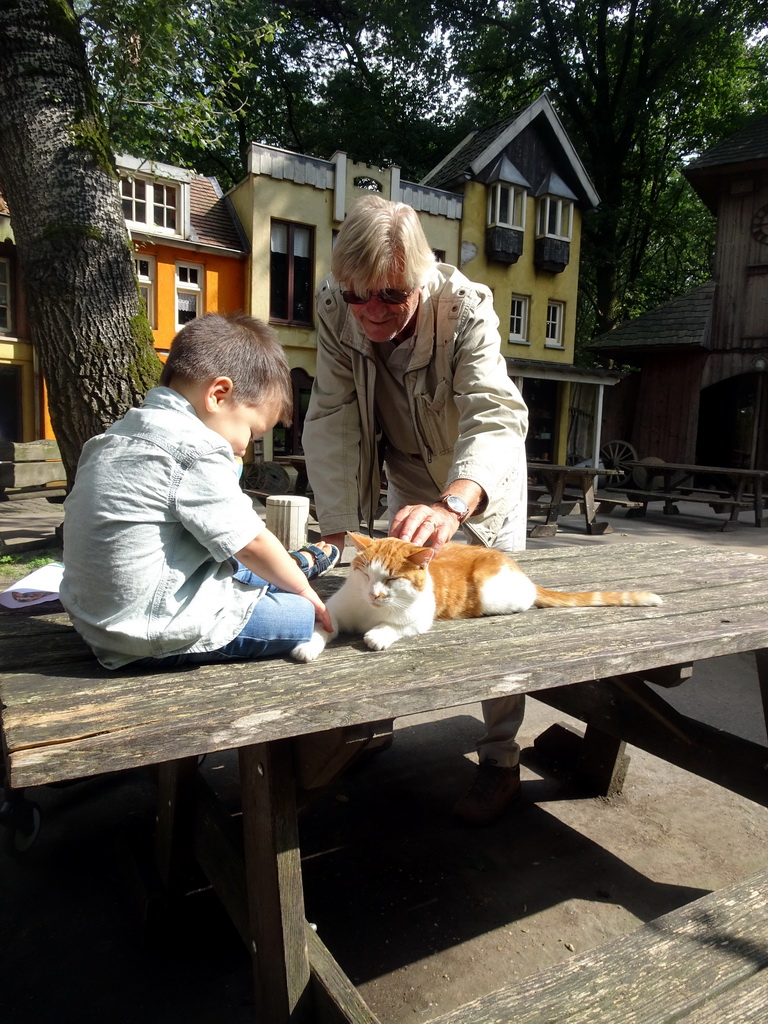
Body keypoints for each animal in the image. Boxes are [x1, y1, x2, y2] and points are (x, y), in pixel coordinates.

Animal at [290, 528, 663, 663]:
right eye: (365, 574)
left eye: (392, 579)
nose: (373, 593)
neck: (369, 610)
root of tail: (519, 570)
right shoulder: (335, 611)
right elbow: (322, 626)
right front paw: (309, 644)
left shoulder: (420, 617)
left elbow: (397, 627)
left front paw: (378, 635)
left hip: (494, 593)